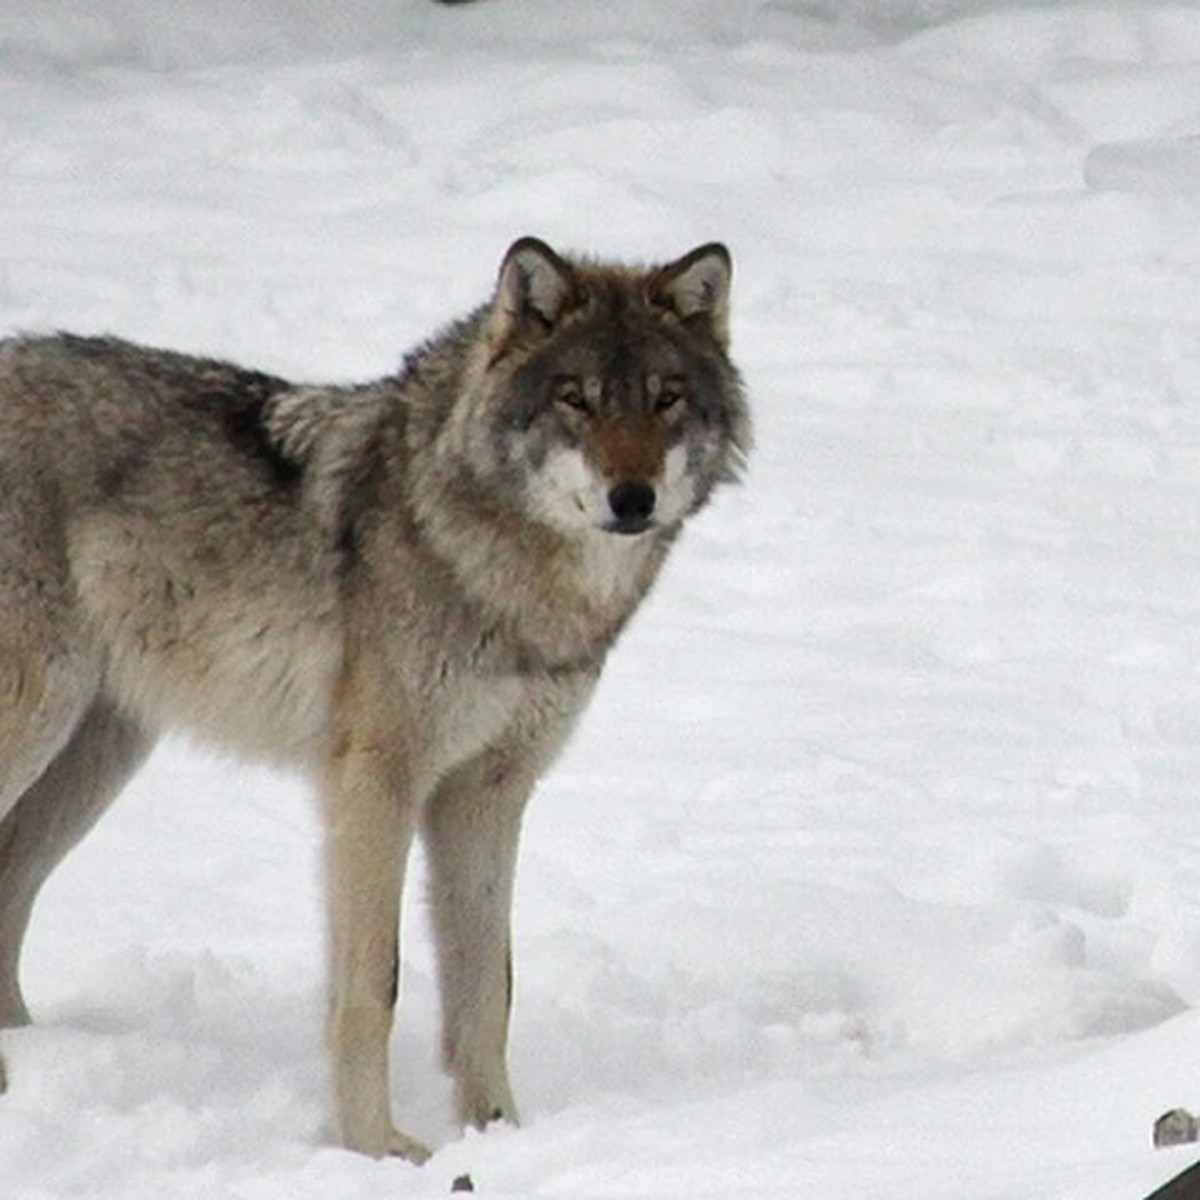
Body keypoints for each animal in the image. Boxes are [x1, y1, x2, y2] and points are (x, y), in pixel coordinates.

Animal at [0, 236, 748, 1161]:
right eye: (574, 399)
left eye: (666, 398)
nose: (632, 498)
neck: (501, 576)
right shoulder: (376, 785)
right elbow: (373, 985)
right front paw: (377, 1148)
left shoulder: (489, 793)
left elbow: (487, 987)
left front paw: (501, 1136)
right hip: (41, 724)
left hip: (95, 758)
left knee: (8, 890)